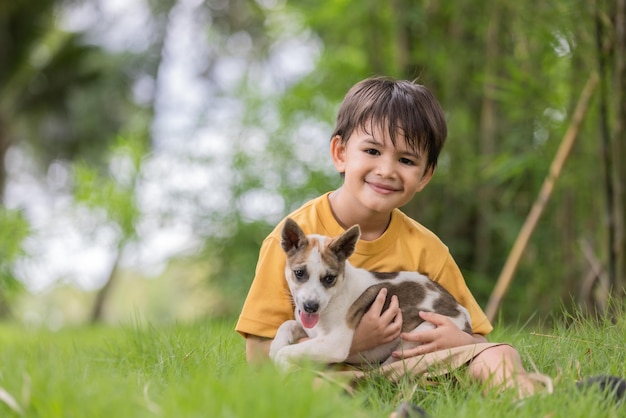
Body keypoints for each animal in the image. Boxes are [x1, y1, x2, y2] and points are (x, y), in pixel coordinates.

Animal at [266, 219, 468, 370]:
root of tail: (464, 315)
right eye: (299, 273)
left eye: (329, 278)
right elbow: (286, 325)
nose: (311, 307)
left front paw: (283, 370)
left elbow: (285, 353)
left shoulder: (335, 343)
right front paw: (276, 346)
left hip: (421, 334)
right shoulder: (309, 330)